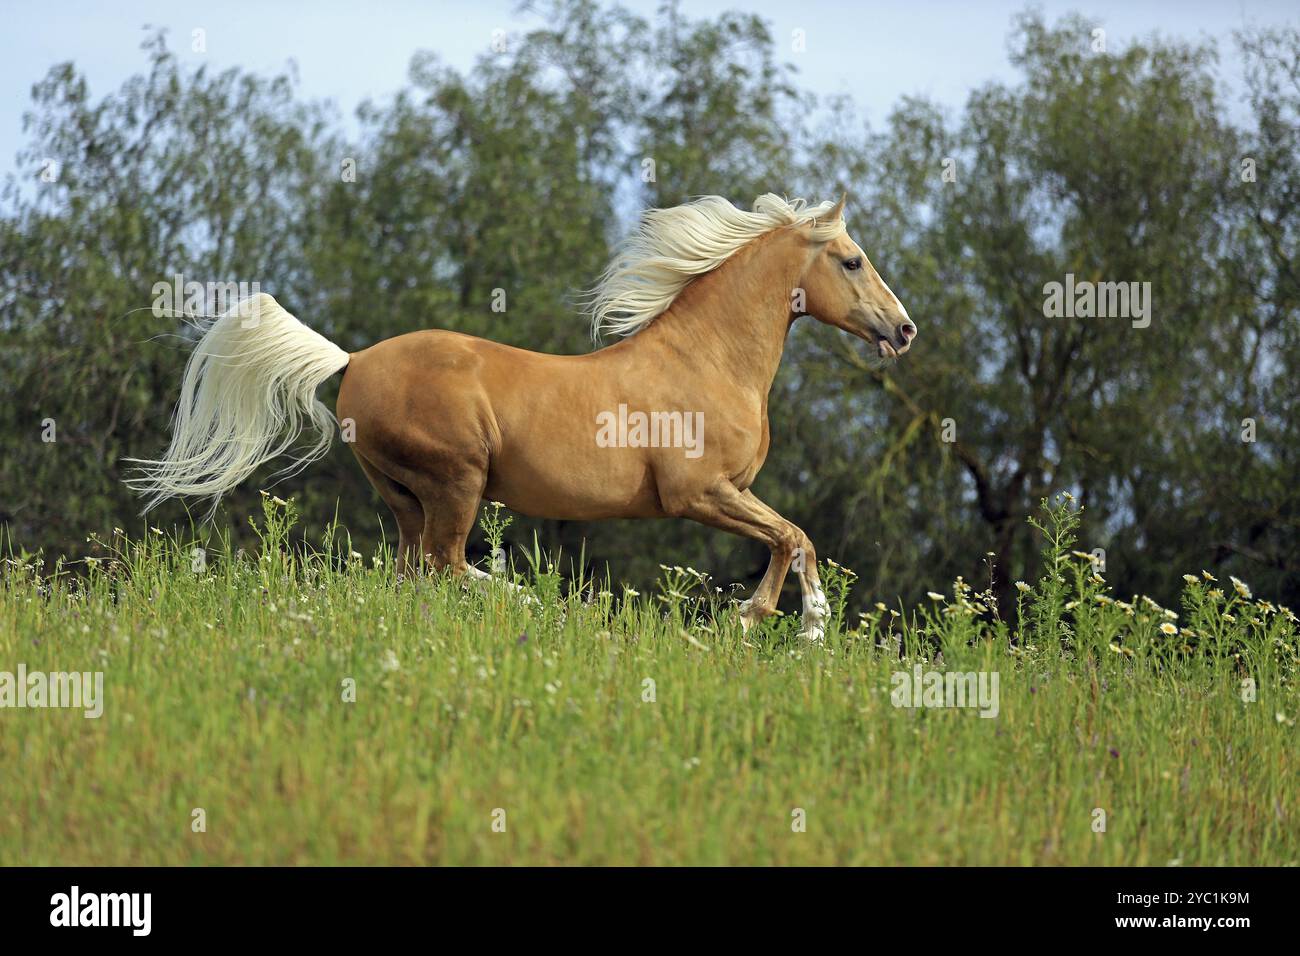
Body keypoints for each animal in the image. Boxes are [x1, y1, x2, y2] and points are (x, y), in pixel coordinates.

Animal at [128, 193, 916, 640]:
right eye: (852, 260)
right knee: (447, 565)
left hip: (404, 494)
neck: (708, 359)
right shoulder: (700, 494)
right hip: (457, 479)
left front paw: (786, 625)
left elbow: (795, 540)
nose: (904, 330)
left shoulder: (726, 495)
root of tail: (353, 359)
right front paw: (782, 625)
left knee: (414, 572)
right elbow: (794, 536)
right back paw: (547, 610)